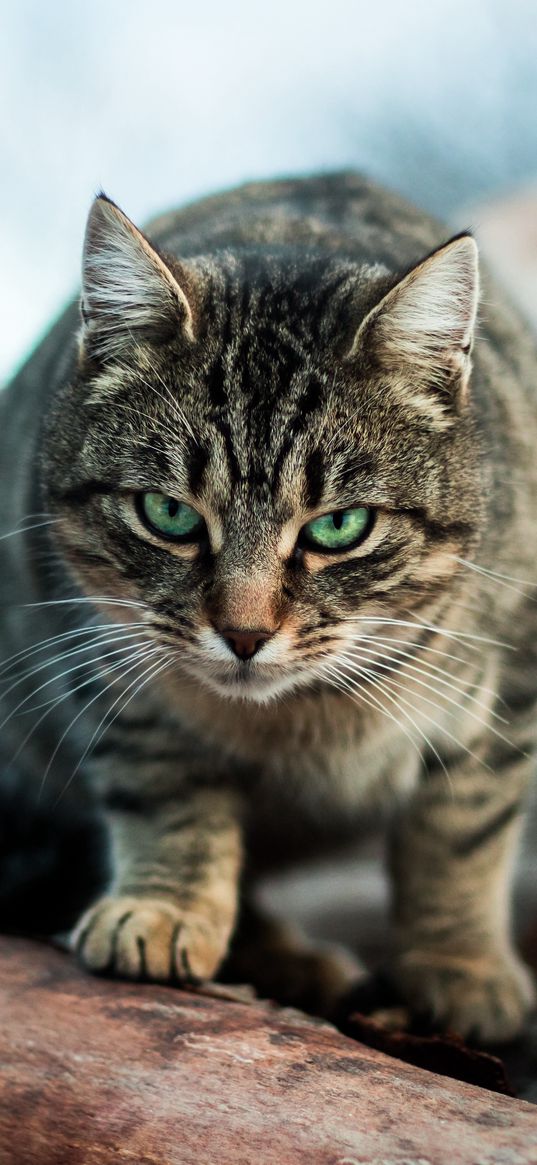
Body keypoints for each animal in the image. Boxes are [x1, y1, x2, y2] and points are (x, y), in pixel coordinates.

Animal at [1, 174, 535, 1048]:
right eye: (168, 514)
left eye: (337, 526)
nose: (244, 633)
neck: (299, 723)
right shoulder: (98, 653)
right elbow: (166, 788)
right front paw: (167, 907)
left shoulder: (512, 677)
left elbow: (461, 828)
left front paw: (457, 963)